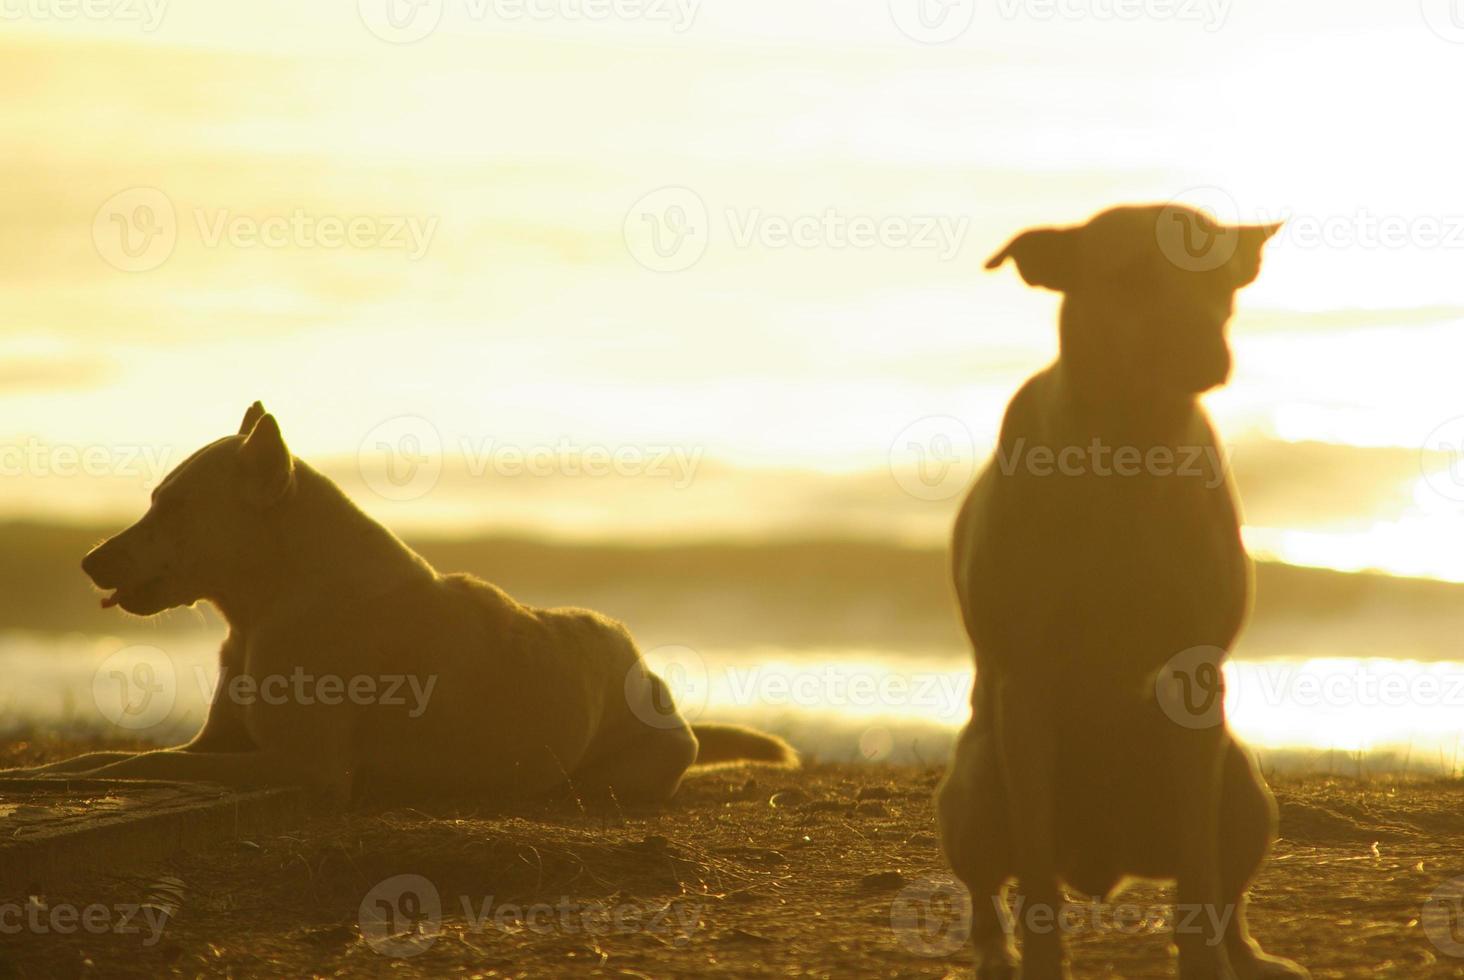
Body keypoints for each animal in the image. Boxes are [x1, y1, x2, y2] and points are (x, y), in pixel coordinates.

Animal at [5, 404, 796, 802]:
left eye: (172, 508)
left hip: (623, 770)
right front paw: (32, 773)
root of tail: (655, 681)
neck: (268, 603)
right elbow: (100, 758)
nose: (87, 562)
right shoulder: (217, 743)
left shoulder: (298, 765)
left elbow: (124, 767)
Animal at [936, 205, 1305, 978]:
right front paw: (1041, 957)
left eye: (1223, 282)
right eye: (1130, 277)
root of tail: (1103, 864)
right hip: (975, 785)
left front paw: (1206, 960)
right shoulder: (1027, 683)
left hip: (1244, 788)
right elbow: (1033, 868)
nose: (1207, 354)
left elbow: (1199, 869)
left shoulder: (1196, 677)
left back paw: (1246, 952)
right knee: (989, 883)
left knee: (1227, 875)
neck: (1130, 447)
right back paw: (994, 951)